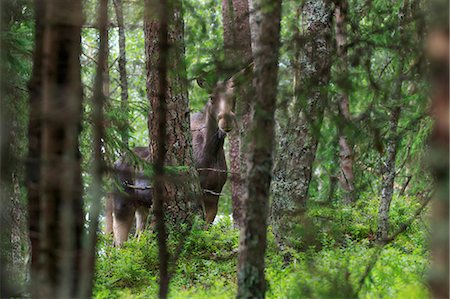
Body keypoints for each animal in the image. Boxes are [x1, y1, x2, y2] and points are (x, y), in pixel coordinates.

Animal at [106, 78, 237, 246]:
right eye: (211, 97)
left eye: (233, 97)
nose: (226, 121)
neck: (213, 151)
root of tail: (114, 164)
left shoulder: (214, 195)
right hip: (122, 203)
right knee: (119, 244)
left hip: (142, 206)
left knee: (137, 237)